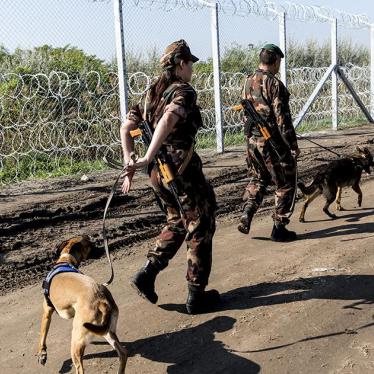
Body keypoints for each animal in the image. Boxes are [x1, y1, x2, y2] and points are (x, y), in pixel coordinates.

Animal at [37, 235, 127, 372]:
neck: (66, 260)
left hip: (77, 342)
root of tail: (101, 300)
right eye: (91, 246)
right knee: (123, 353)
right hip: (107, 330)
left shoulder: (47, 312)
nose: (103, 249)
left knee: (80, 367)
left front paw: (42, 354)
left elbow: (43, 335)